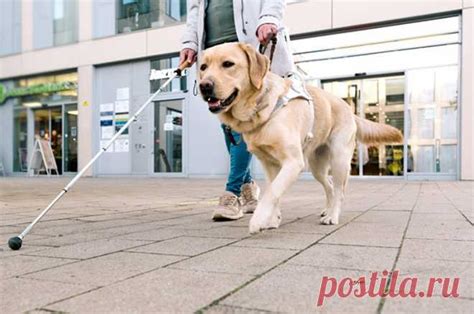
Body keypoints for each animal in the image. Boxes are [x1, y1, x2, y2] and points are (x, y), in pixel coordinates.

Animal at [198, 42, 402, 233]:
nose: (204, 86)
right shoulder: (269, 164)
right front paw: (272, 220)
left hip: (339, 160)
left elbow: (272, 191)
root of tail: (349, 109)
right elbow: (274, 190)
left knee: (338, 190)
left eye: (228, 64)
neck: (263, 110)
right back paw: (326, 211)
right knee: (329, 186)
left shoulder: (293, 162)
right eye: (203, 67)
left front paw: (259, 219)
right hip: (317, 166)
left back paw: (332, 216)